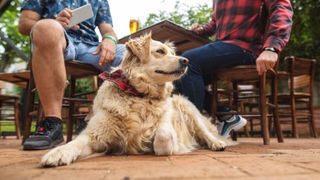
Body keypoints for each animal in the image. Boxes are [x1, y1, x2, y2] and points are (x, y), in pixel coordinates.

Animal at [41, 34, 234, 167]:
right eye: (160, 52)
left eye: (173, 53)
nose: (186, 60)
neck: (139, 95)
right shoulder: (95, 134)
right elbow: (75, 142)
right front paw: (57, 153)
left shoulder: (166, 122)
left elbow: (162, 138)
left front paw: (159, 145)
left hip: (185, 105)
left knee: (204, 131)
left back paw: (217, 143)